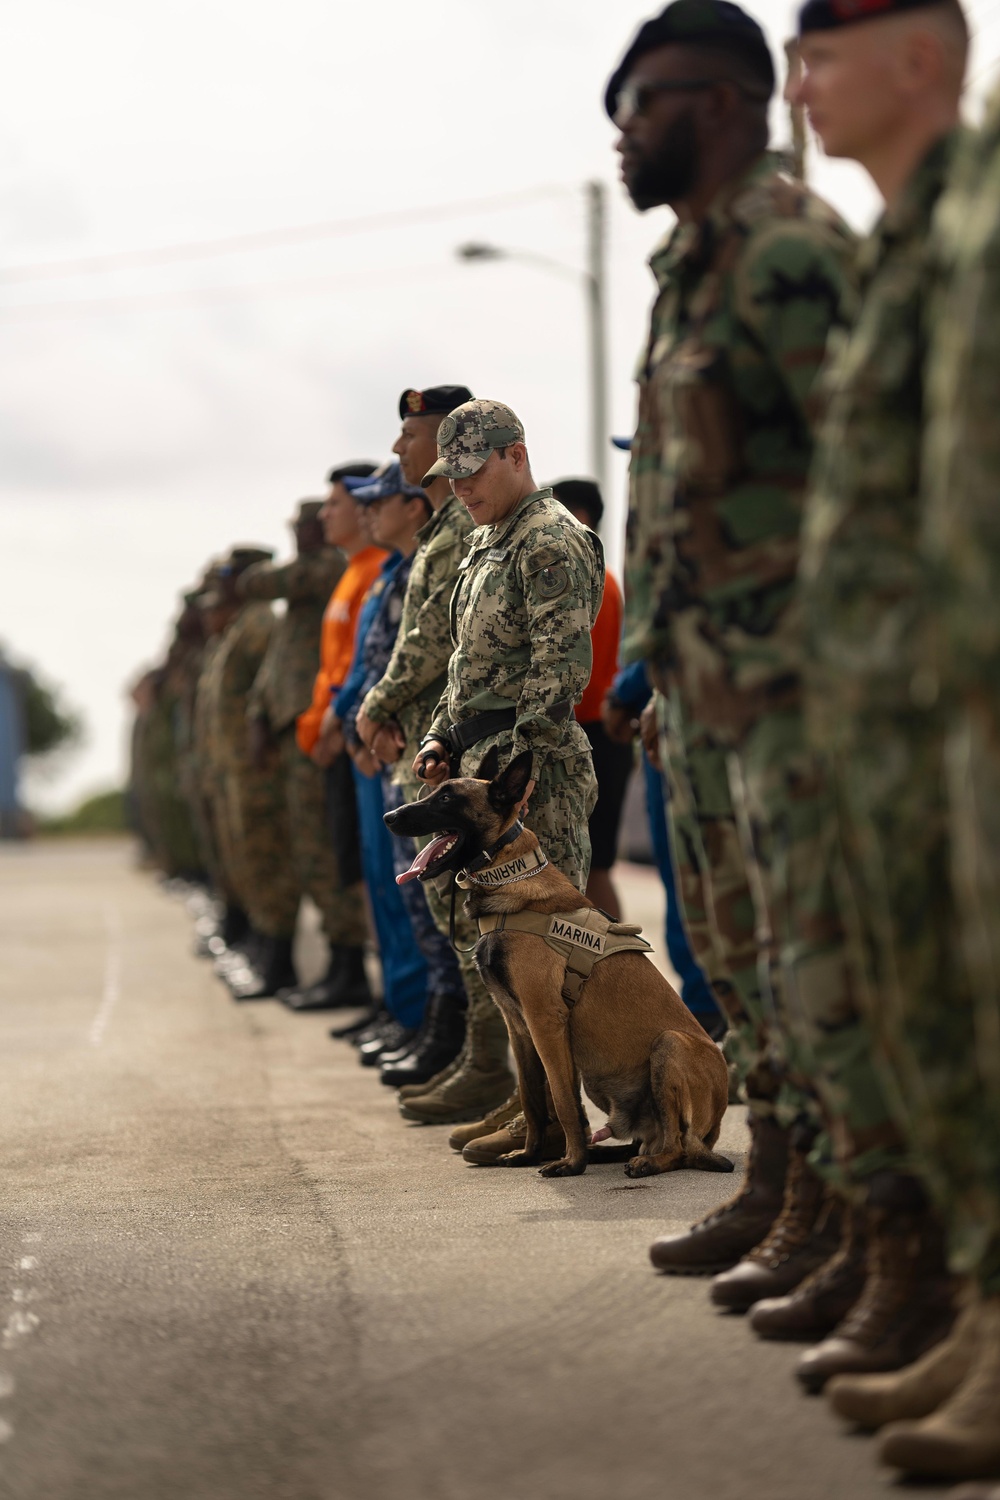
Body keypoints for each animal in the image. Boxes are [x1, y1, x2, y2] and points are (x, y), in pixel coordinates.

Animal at [386, 750, 734, 1182]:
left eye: (447, 798)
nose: (389, 816)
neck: (507, 878)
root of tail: (715, 1126)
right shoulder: (518, 1027)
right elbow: (533, 1098)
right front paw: (529, 1153)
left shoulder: (545, 1022)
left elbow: (562, 1100)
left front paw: (570, 1163)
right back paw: (608, 1152)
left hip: (669, 1045)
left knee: (676, 1147)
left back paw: (646, 1162)